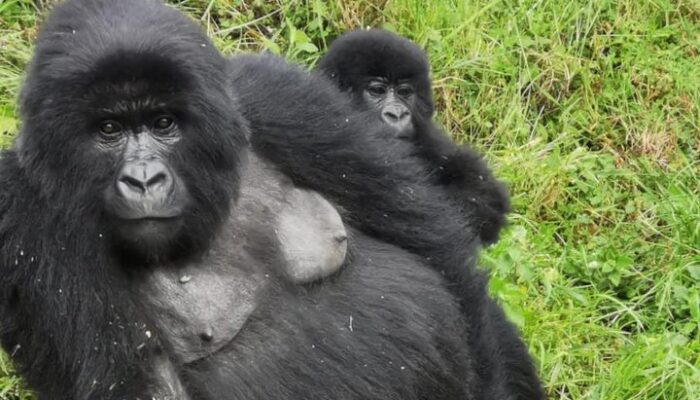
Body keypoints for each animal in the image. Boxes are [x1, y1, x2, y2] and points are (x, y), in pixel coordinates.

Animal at [0, 0, 540, 400]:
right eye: (109, 130)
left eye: (163, 123)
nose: (144, 180)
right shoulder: (23, 215)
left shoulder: (278, 97)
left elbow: (438, 252)